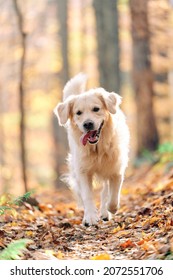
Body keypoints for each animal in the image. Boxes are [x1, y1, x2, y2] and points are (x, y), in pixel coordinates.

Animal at [53, 72, 129, 225]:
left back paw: (105, 212)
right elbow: (87, 195)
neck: (97, 149)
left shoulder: (116, 170)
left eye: (96, 109)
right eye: (78, 113)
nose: (88, 124)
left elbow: (113, 196)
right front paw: (90, 218)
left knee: (106, 191)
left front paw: (110, 209)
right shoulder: (83, 171)